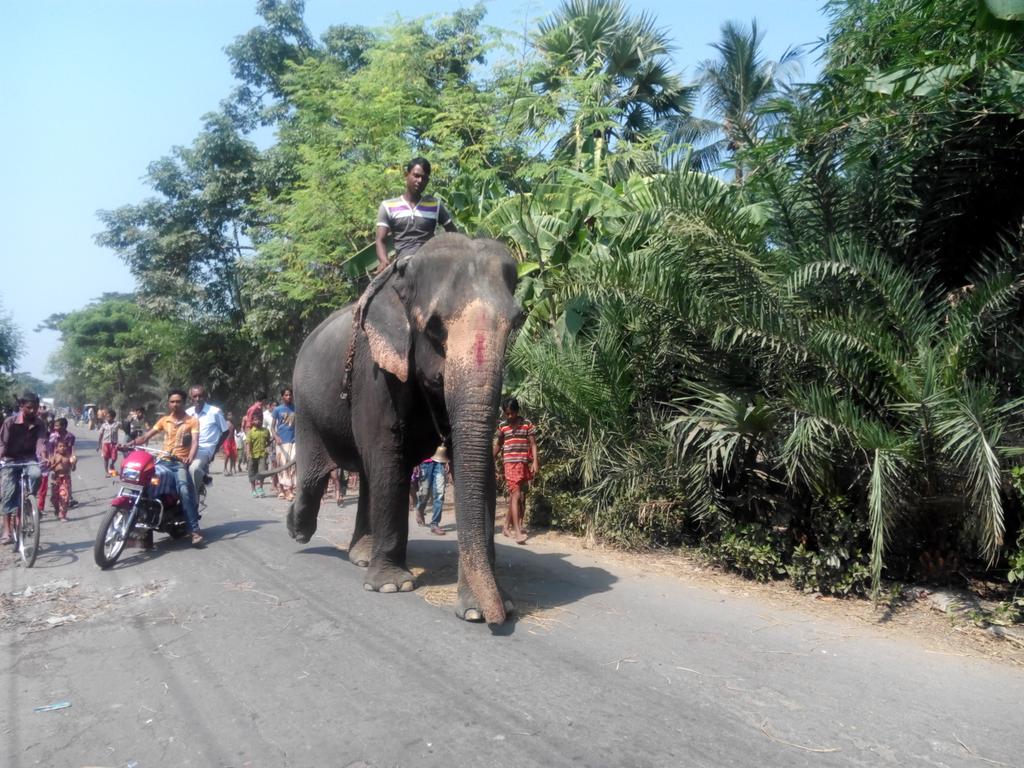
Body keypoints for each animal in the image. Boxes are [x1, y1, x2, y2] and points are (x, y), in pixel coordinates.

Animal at [286, 232, 523, 625]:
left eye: (517, 322)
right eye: (435, 327)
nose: (496, 618)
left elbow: (478, 465)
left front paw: (479, 607)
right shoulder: (374, 369)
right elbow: (386, 452)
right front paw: (390, 586)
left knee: (365, 474)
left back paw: (360, 554)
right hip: (304, 405)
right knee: (315, 478)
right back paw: (297, 530)